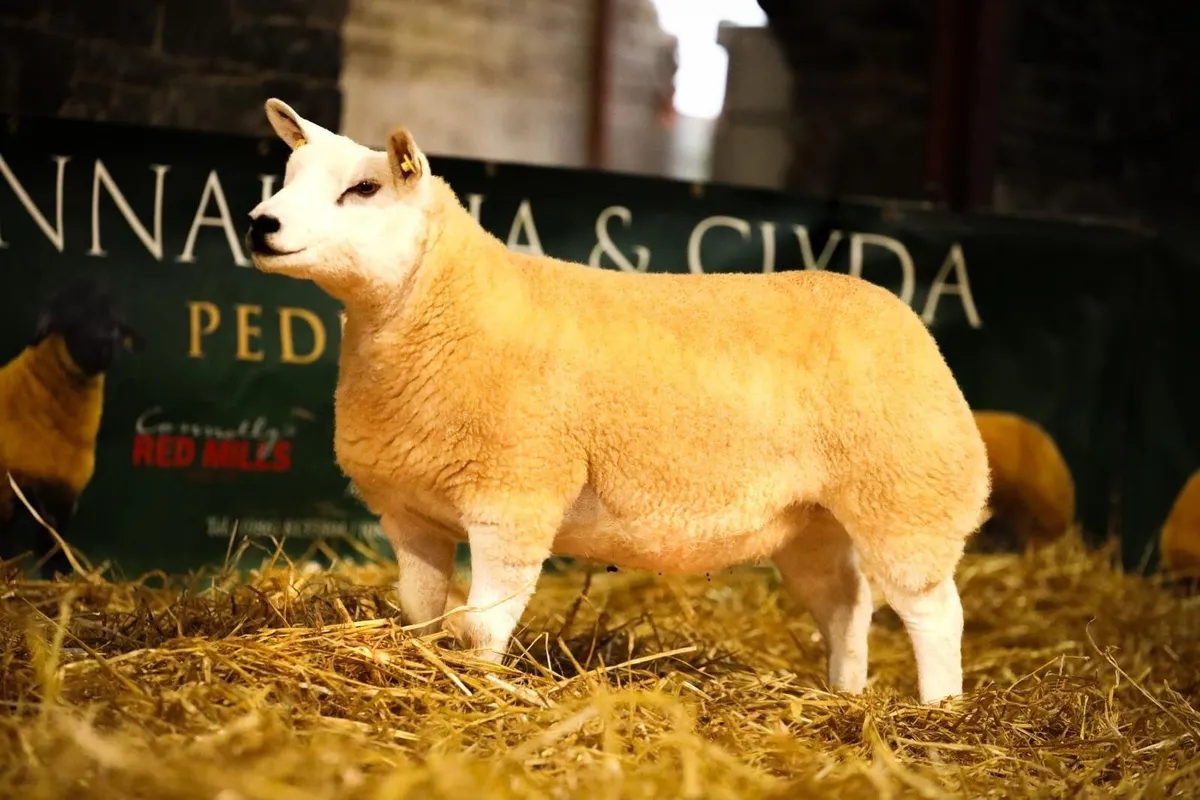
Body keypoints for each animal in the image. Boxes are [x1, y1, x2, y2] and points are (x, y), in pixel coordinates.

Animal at [0, 278, 141, 578]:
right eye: (69, 318)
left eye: (114, 321)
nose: (104, 342)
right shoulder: (11, 493)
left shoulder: (63, 500)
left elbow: (55, 555)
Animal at [245, 98, 991, 706]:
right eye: (288, 174)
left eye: (365, 188)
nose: (260, 224)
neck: (449, 307)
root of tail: (902, 312)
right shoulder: (410, 511)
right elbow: (422, 608)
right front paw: (423, 660)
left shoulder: (513, 497)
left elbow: (481, 623)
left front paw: (479, 686)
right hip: (815, 518)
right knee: (847, 605)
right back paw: (844, 692)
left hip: (907, 496)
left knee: (935, 614)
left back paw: (939, 711)